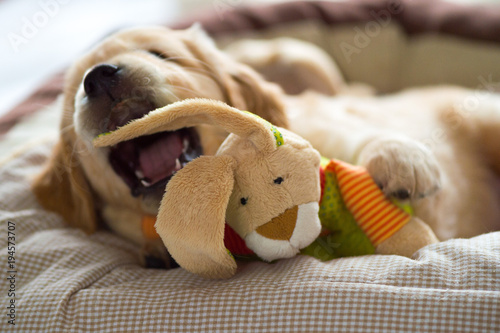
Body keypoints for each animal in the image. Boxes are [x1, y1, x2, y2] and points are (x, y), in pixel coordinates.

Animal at [32, 25, 500, 264]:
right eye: (73, 93)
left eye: (161, 55)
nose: (98, 77)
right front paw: (160, 251)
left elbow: (370, 136)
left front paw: (403, 162)